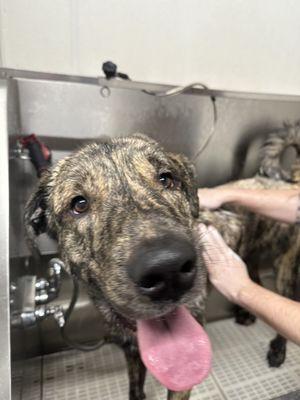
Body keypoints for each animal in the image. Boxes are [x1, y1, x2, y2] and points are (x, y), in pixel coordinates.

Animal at [25, 126, 300, 398]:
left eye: (166, 179)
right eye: (79, 204)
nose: (169, 271)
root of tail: (287, 181)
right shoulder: (131, 349)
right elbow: (135, 386)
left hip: (285, 267)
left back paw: (278, 348)